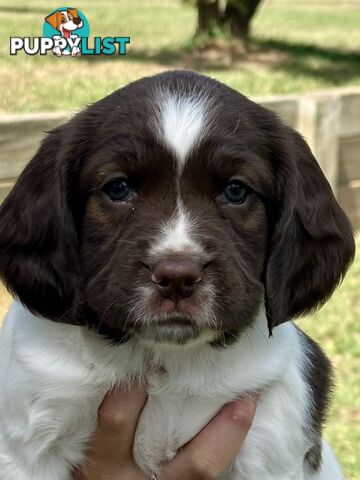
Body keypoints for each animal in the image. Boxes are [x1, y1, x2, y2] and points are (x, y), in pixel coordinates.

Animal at [0, 69, 354, 478]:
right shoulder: (32, 433)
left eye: (236, 191)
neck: (164, 362)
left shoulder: (268, 443)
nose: (176, 277)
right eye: (118, 188)